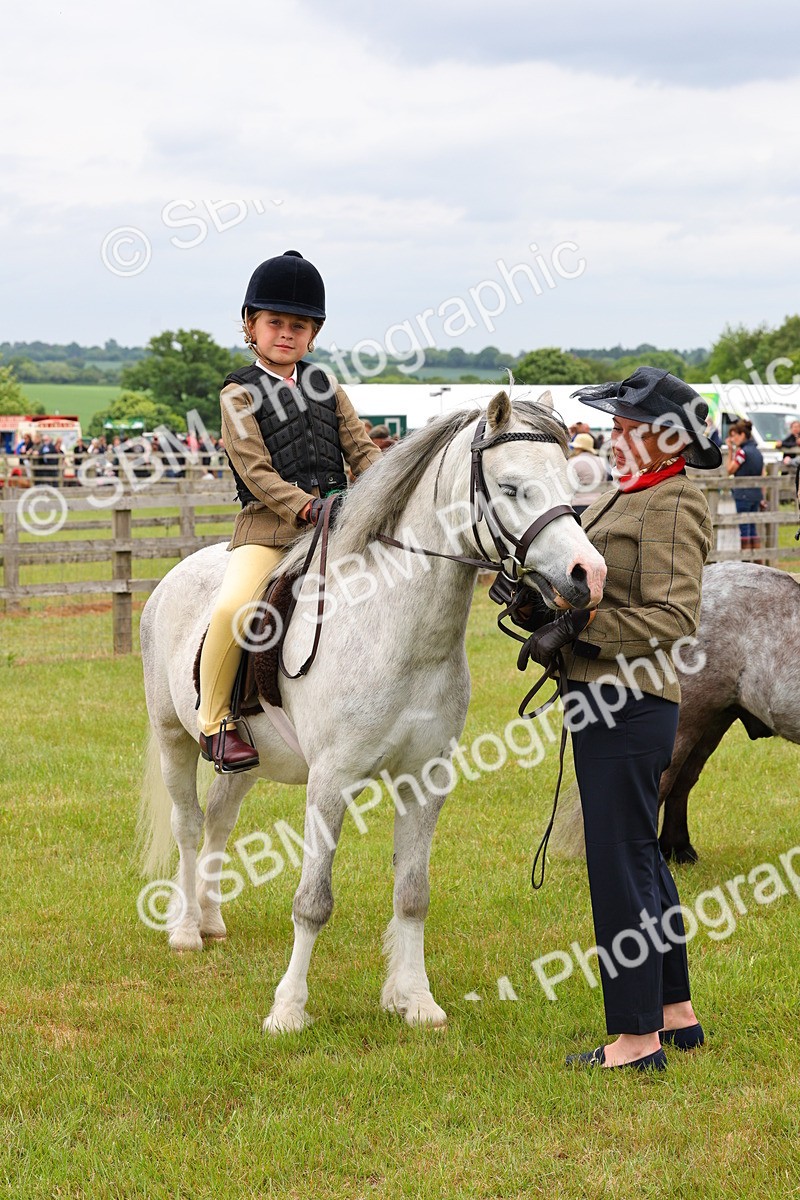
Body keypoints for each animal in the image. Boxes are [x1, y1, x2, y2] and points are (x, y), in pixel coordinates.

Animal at [138, 391, 606, 1033]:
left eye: (570, 477)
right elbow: (313, 901)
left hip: (246, 761)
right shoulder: (330, 782)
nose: (590, 576)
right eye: (511, 488)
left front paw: (414, 1000)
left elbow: (413, 893)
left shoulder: (426, 780)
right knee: (188, 826)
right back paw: (186, 930)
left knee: (218, 820)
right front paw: (288, 1010)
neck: (397, 630)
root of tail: (176, 575)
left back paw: (210, 921)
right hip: (174, 741)